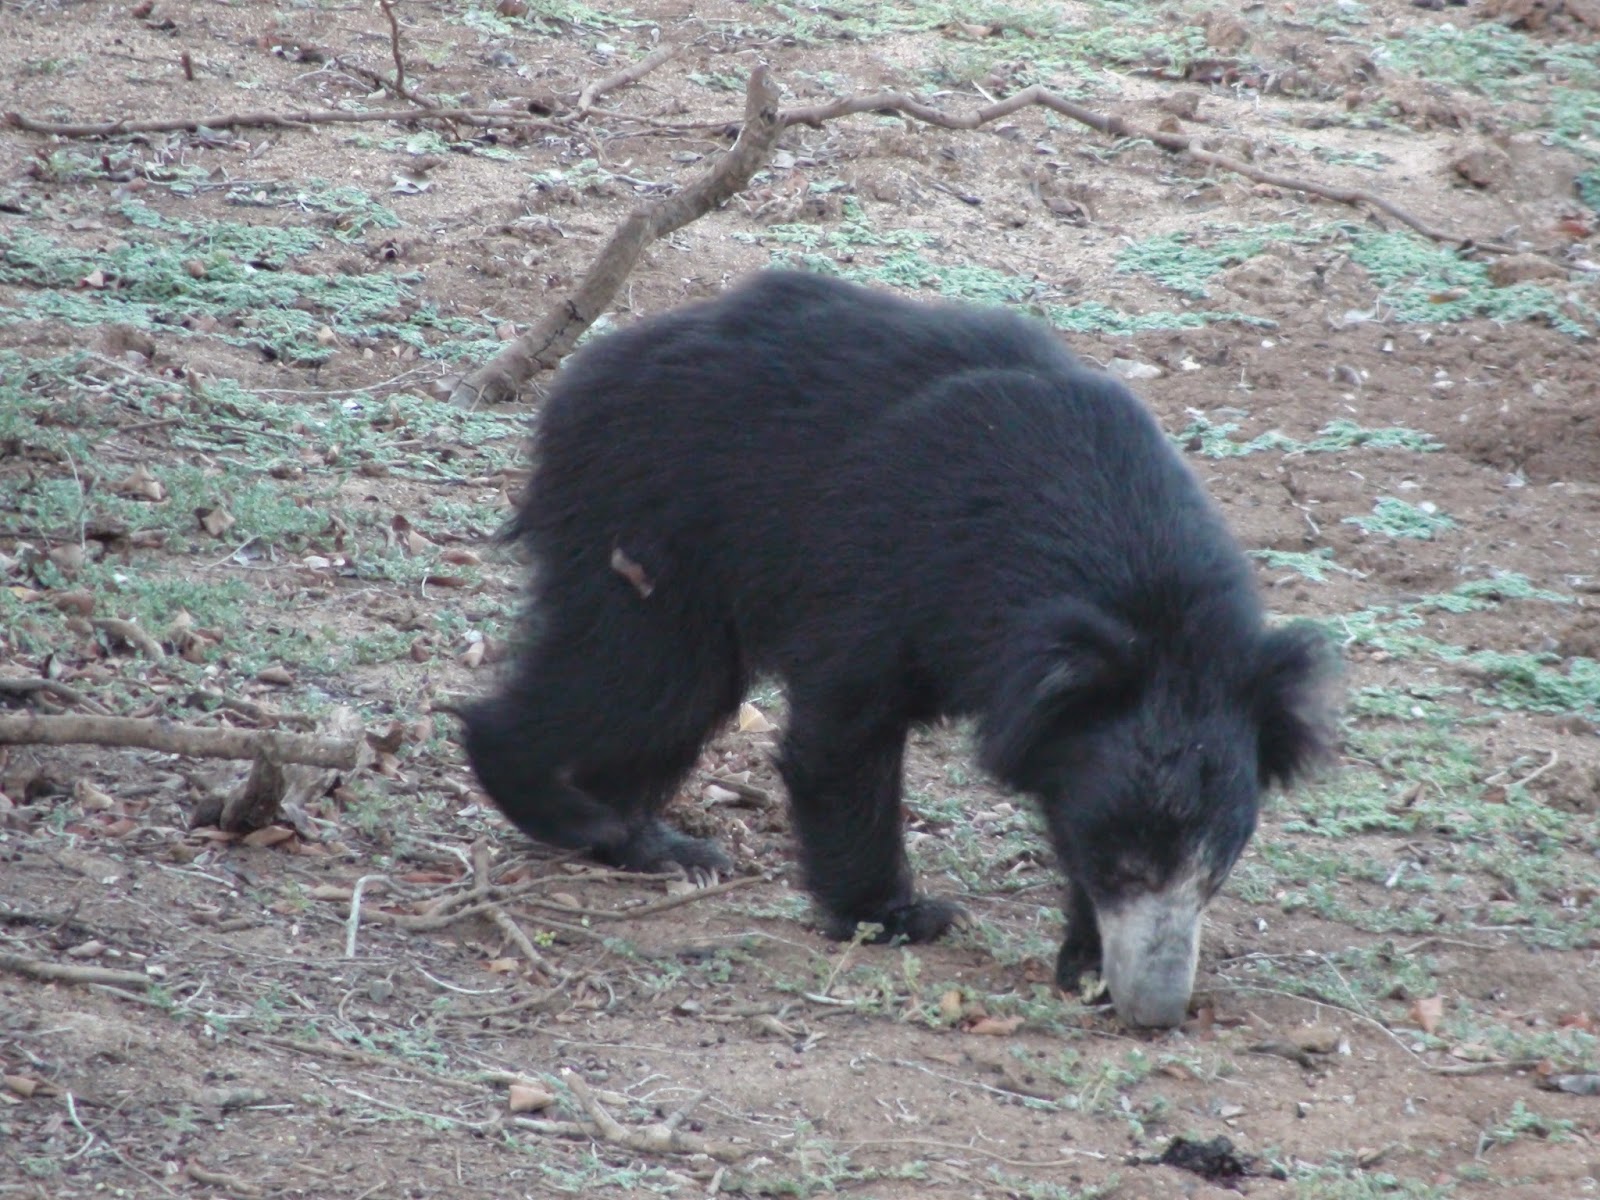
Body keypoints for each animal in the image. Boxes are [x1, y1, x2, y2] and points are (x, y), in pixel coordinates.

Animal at [457, 275, 1331, 1036]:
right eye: (1124, 869)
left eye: (1213, 873)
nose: (1156, 1009)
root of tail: (593, 367)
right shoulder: (890, 565)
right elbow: (844, 735)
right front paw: (894, 915)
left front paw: (1081, 963)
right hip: (648, 518)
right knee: (640, 680)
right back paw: (566, 807)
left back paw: (655, 843)